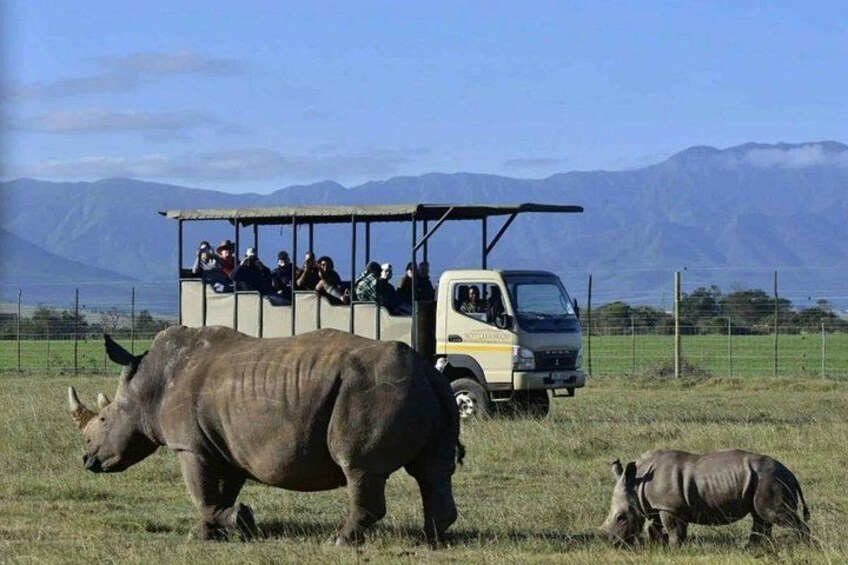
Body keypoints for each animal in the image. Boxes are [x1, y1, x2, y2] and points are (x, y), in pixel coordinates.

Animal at [67, 326, 464, 546]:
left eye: (102, 419)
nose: (86, 460)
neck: (146, 387)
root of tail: (428, 371)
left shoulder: (190, 446)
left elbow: (202, 493)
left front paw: (237, 523)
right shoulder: (225, 445)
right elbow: (220, 491)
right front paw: (208, 532)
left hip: (371, 391)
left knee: (359, 467)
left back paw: (338, 541)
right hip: (427, 391)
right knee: (432, 470)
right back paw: (431, 540)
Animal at [600, 449, 810, 547]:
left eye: (620, 518)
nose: (612, 542)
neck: (637, 484)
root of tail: (790, 474)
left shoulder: (670, 507)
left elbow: (675, 530)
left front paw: (675, 549)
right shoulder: (654, 505)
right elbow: (655, 528)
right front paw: (658, 547)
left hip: (771, 479)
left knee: (775, 515)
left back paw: (803, 545)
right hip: (764, 480)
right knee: (760, 516)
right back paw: (752, 548)